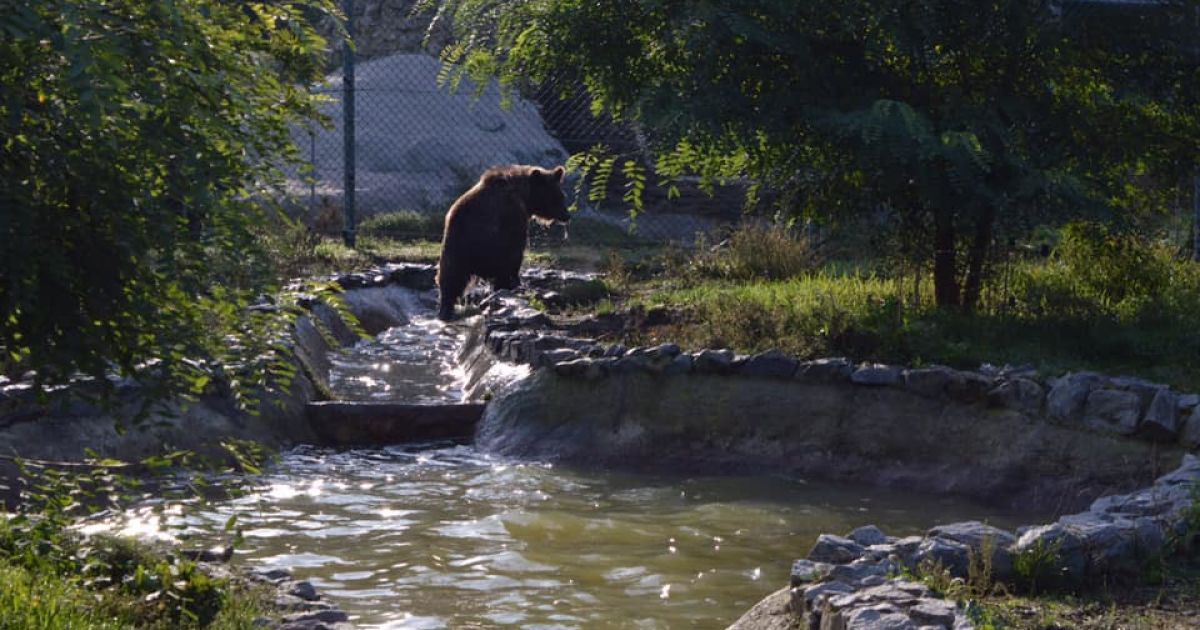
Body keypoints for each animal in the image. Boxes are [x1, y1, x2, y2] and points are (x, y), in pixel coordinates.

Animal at [436, 164, 570, 320]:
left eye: (562, 196)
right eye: (557, 196)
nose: (567, 215)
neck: (525, 196)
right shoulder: (513, 216)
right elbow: (515, 253)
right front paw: (516, 282)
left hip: (454, 247)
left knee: (449, 279)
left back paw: (445, 310)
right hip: (481, 246)